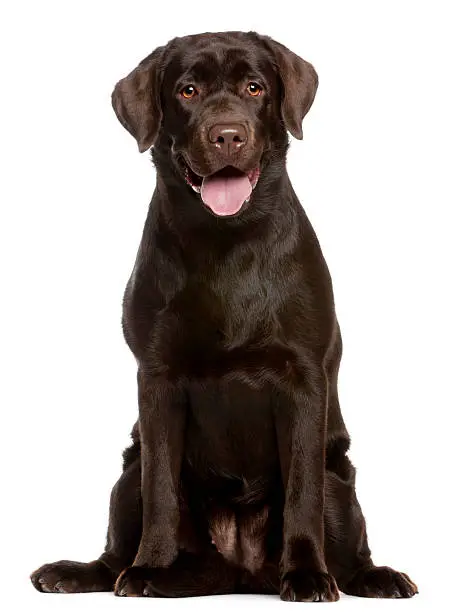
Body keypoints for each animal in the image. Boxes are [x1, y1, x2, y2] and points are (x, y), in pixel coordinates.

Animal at [29, 31, 416, 600]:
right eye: (187, 90)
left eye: (255, 87)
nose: (227, 136)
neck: (225, 241)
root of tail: (242, 570)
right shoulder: (158, 379)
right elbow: (161, 492)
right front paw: (150, 567)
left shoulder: (303, 380)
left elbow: (301, 493)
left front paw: (306, 574)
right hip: (127, 473)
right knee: (119, 542)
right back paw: (93, 572)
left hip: (340, 482)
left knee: (347, 546)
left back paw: (375, 576)